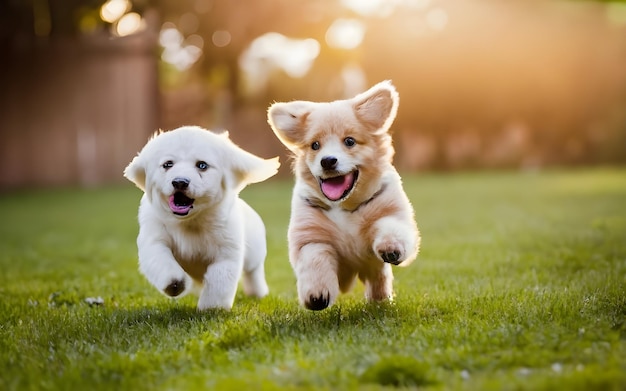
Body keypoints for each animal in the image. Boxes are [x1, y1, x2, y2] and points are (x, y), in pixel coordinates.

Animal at [122, 127, 278, 310]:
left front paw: (212, 308)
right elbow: (162, 260)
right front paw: (174, 283)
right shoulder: (154, 239)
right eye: (168, 164)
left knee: (253, 273)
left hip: (255, 255)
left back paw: (257, 292)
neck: (190, 222)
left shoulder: (227, 252)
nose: (180, 182)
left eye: (202, 165)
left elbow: (219, 281)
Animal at [264, 81, 420, 310]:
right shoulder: (311, 237)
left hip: (372, 267)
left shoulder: (392, 213)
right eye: (315, 145)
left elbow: (390, 228)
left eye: (349, 141)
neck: (345, 206)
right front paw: (317, 295)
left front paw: (391, 248)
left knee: (379, 278)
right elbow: (316, 260)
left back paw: (380, 301)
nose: (328, 161)